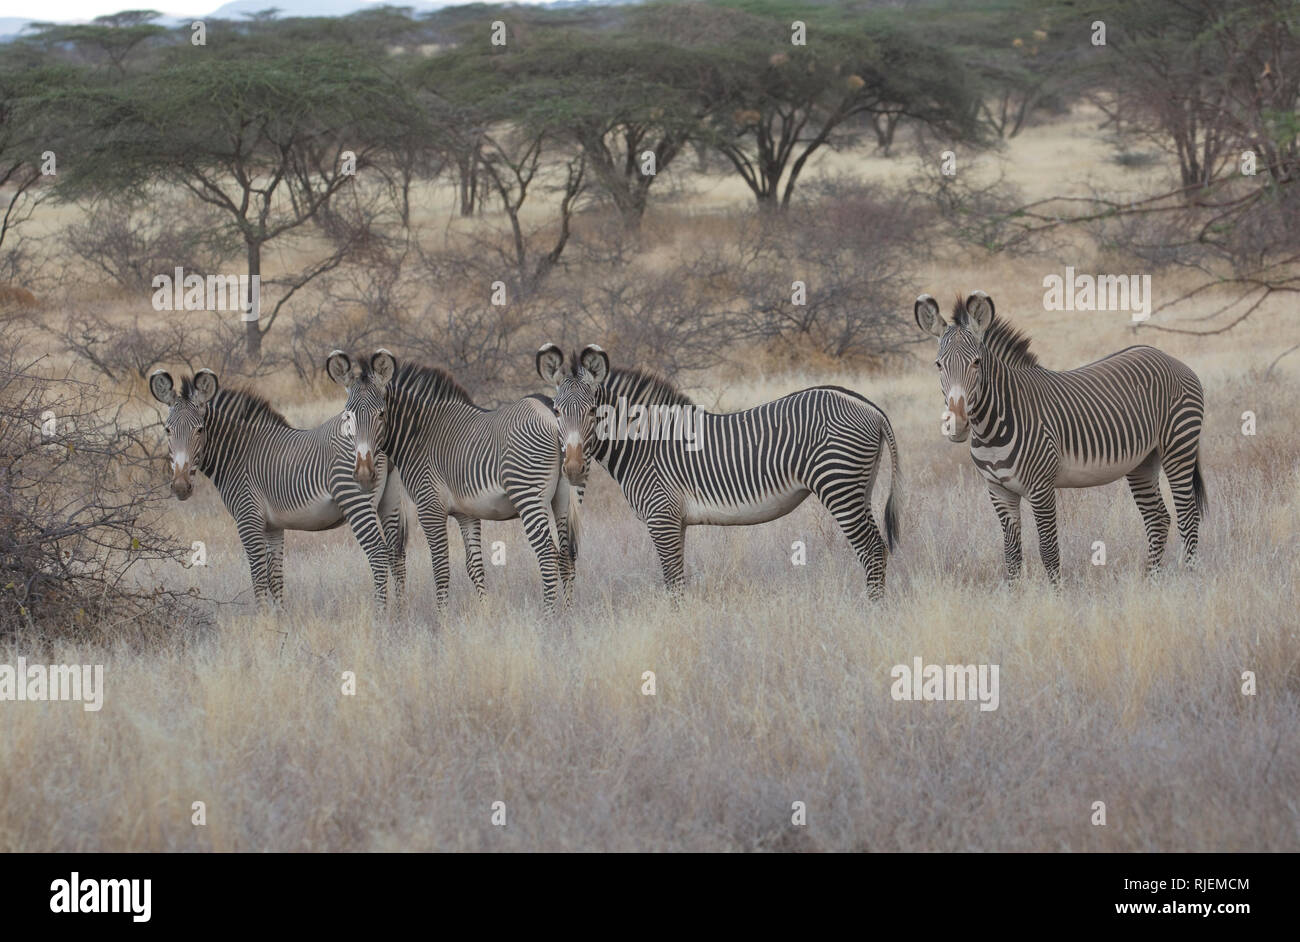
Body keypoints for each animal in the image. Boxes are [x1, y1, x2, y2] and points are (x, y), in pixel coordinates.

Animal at [147, 363, 403, 605]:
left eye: (200, 430)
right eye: (167, 430)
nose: (181, 486)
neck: (238, 452)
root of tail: (379, 437)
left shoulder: (248, 519)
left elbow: (258, 577)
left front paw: (262, 619)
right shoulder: (273, 526)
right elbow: (275, 578)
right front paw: (279, 618)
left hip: (356, 500)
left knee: (378, 554)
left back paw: (380, 615)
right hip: (389, 501)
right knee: (396, 555)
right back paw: (399, 614)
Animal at [340, 343, 608, 613]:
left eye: (380, 414)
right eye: (348, 416)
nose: (363, 473)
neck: (419, 433)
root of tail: (551, 413)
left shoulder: (430, 508)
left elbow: (441, 568)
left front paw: (443, 618)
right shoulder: (466, 513)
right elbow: (474, 566)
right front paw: (485, 613)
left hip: (529, 496)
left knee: (547, 555)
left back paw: (547, 616)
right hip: (563, 497)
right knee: (566, 556)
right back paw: (567, 614)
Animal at [585, 361, 899, 595]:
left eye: (590, 412)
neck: (644, 445)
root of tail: (870, 408)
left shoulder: (661, 516)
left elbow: (672, 580)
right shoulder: (676, 520)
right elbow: (678, 574)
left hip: (838, 484)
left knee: (871, 549)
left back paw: (872, 610)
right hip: (861, 487)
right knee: (880, 547)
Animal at [915, 289, 1206, 579]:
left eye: (976, 363)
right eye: (938, 365)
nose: (957, 424)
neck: (991, 431)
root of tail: (1166, 356)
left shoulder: (1041, 487)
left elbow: (1048, 551)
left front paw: (1056, 592)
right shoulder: (998, 491)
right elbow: (1012, 556)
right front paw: (1014, 591)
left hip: (1179, 447)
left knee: (1188, 516)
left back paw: (1189, 577)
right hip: (1143, 461)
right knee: (1158, 518)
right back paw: (1151, 580)